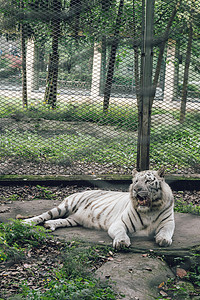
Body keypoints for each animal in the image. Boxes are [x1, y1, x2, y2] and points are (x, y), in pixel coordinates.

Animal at [22, 169, 174, 248]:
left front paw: (164, 240)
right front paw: (121, 242)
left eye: (147, 181)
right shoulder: (119, 223)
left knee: (62, 220)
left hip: (74, 219)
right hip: (65, 206)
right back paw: (26, 223)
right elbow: (121, 233)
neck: (149, 210)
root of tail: (82, 191)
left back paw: (50, 225)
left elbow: (166, 231)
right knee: (43, 215)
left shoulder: (168, 223)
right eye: (136, 181)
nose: (136, 189)